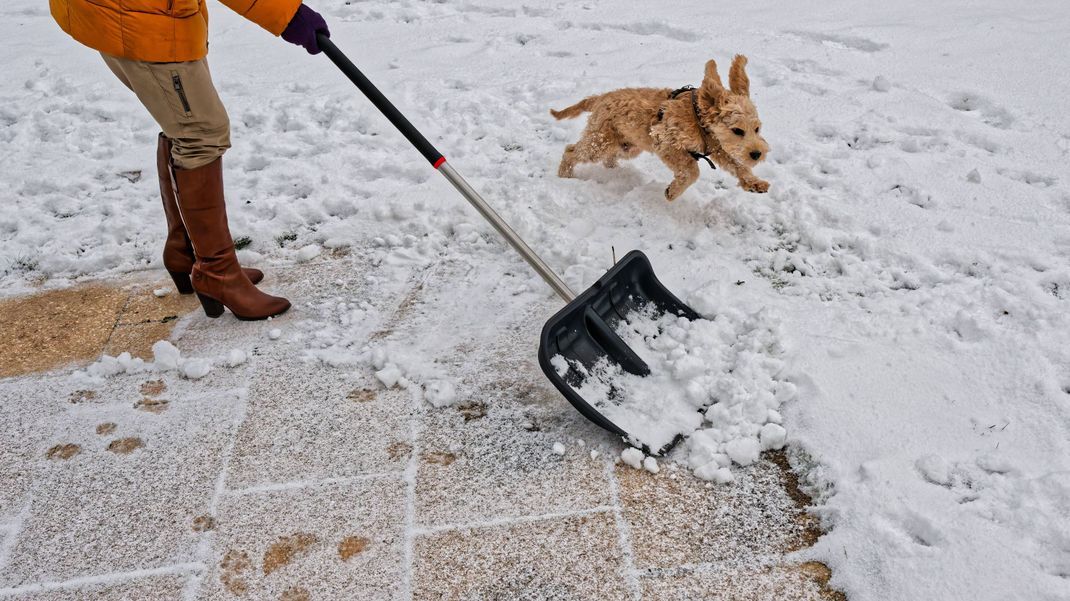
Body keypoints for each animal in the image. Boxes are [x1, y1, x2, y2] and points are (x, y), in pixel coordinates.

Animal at [552, 54, 770, 198]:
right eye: (737, 130)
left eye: (757, 129)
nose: (757, 154)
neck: (697, 118)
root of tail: (599, 98)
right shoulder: (666, 142)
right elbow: (692, 170)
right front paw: (673, 191)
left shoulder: (717, 147)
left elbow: (737, 164)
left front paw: (754, 182)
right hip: (600, 141)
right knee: (570, 150)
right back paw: (565, 175)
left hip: (628, 145)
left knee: (609, 157)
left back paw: (614, 169)